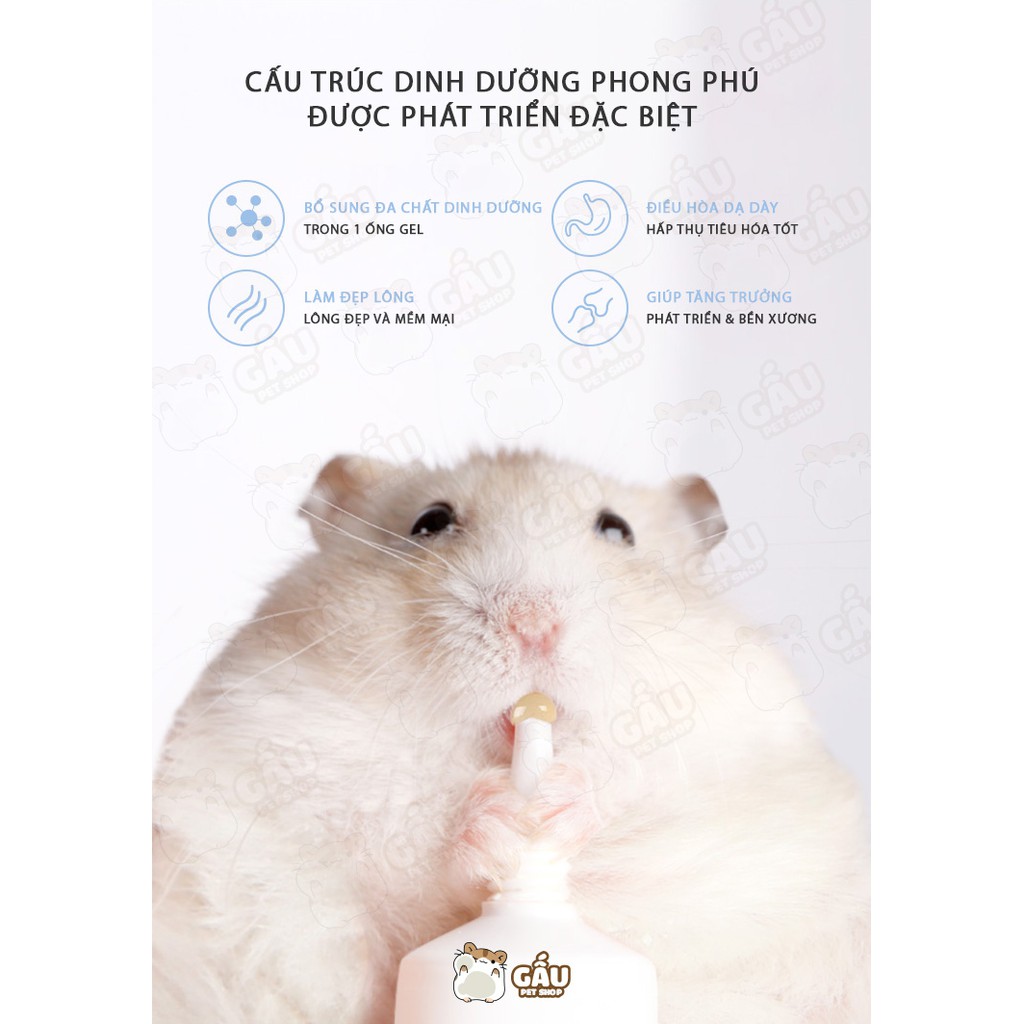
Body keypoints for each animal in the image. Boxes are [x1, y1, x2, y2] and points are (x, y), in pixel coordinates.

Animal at [153, 450, 869, 1024]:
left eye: (618, 529)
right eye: (430, 522)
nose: (532, 621)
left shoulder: (758, 831)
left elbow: (639, 854)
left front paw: (553, 804)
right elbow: (392, 869)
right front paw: (502, 816)